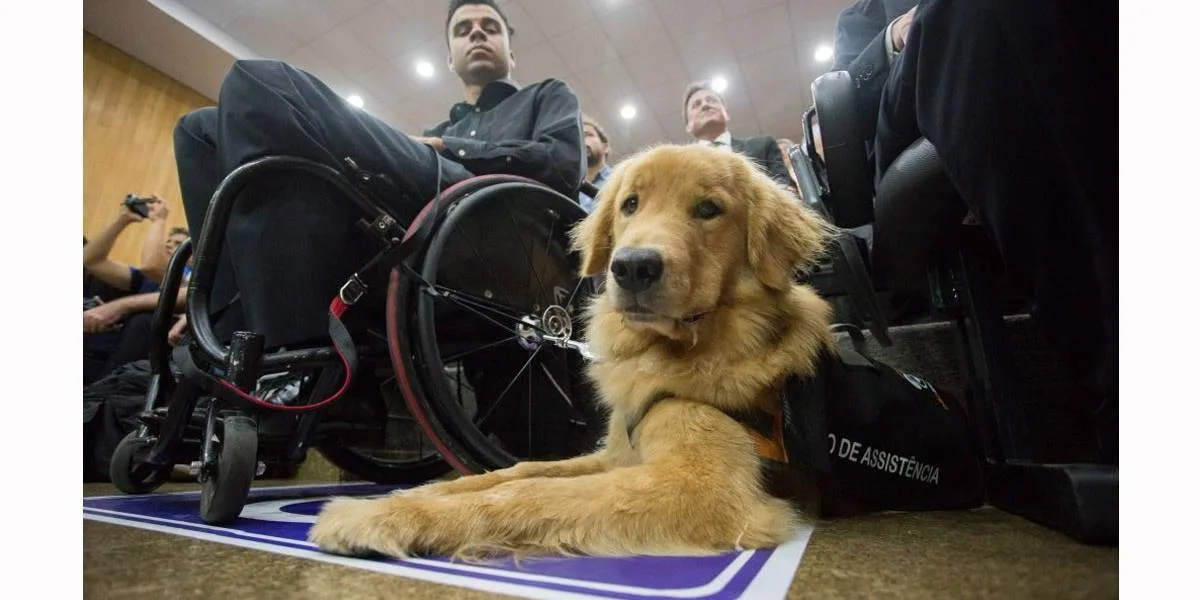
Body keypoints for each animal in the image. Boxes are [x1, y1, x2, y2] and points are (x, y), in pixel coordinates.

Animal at [307, 144, 835, 556]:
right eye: (630, 204)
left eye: (709, 209)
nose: (632, 267)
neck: (671, 351)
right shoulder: (617, 456)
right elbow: (519, 471)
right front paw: (408, 496)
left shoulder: (703, 488)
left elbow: (532, 494)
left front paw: (376, 518)